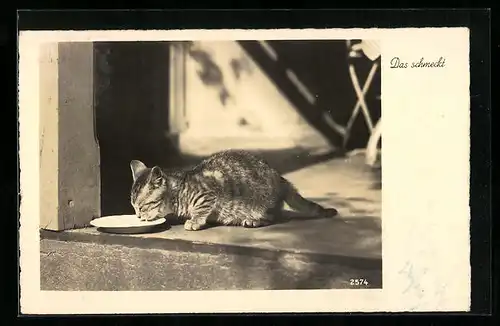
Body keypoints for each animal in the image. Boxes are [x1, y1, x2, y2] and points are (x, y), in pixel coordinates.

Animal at [131, 149, 338, 230]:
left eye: (141, 207)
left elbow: (200, 209)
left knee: (274, 216)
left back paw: (253, 221)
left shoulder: (207, 194)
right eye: (133, 207)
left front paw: (194, 221)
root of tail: (281, 179)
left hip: (261, 202)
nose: (138, 216)